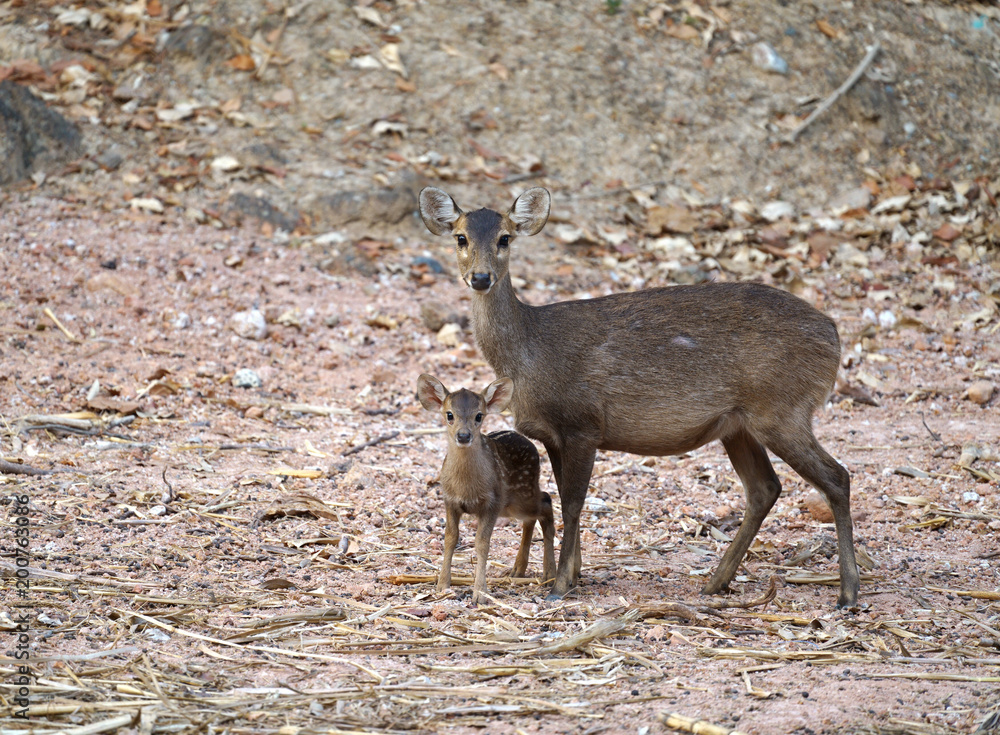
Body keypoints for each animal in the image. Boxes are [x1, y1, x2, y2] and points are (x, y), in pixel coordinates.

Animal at [412, 374, 556, 604]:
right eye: (449, 414)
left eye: (479, 416)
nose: (463, 436)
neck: (466, 486)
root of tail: (531, 444)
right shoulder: (450, 501)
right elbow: (450, 538)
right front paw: (442, 585)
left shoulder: (492, 502)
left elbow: (482, 543)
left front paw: (480, 592)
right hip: (512, 504)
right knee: (533, 515)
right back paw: (518, 569)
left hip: (520, 495)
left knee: (546, 501)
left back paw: (550, 572)